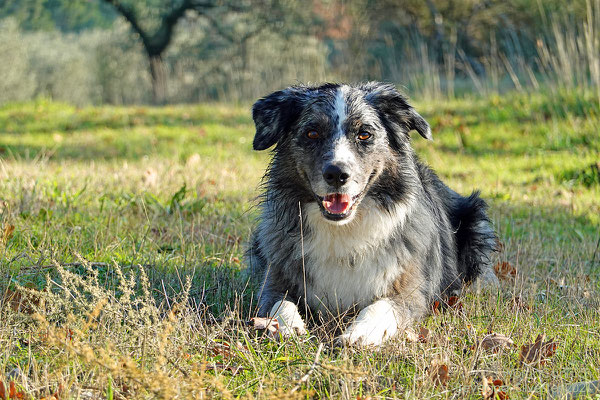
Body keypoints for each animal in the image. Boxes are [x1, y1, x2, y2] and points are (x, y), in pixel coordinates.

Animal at [244, 83, 496, 346]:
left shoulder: (411, 291)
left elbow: (381, 307)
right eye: (312, 133)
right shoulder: (273, 280)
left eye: (364, 134)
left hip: (476, 222)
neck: (343, 230)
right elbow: (279, 304)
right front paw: (286, 328)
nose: (337, 174)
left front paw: (359, 333)